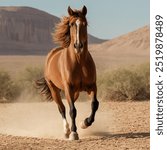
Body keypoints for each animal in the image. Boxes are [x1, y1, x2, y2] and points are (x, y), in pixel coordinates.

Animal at [35, 5, 98, 139]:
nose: (78, 46)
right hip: (54, 89)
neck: (79, 62)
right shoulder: (68, 88)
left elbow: (94, 104)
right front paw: (74, 133)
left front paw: (85, 123)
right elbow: (72, 110)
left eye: (85, 23)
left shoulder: (92, 86)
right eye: (71, 24)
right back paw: (66, 131)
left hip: (76, 92)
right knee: (62, 108)